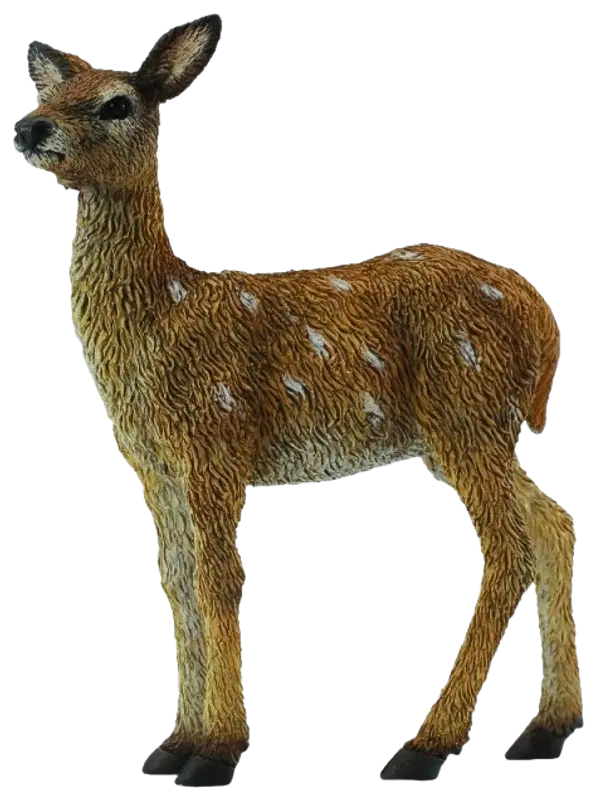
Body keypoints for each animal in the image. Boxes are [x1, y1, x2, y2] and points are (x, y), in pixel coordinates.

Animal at [13, 15, 583, 787]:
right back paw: (545, 730)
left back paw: (422, 746)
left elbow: (219, 581)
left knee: (508, 547)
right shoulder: (153, 466)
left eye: (115, 104)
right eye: (49, 92)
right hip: (473, 428)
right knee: (553, 522)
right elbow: (178, 584)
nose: (28, 126)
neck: (164, 316)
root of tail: (541, 320)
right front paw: (172, 744)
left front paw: (215, 752)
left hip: (462, 405)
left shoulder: (215, 438)